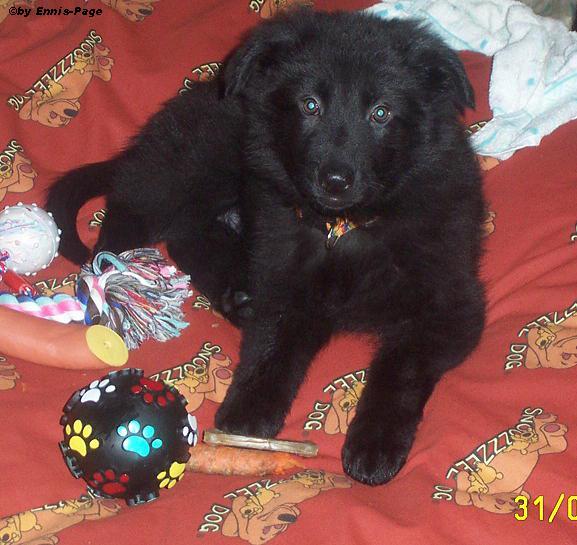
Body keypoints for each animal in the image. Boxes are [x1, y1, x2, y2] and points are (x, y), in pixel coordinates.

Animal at [46, 9, 486, 485]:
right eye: (310, 105)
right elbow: (273, 346)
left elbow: (400, 369)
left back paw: (233, 295)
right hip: (192, 167)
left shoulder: (449, 305)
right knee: (128, 217)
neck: (345, 227)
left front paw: (375, 442)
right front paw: (249, 410)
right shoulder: (284, 275)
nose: (334, 180)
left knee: (187, 237)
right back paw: (111, 283)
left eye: (381, 113)